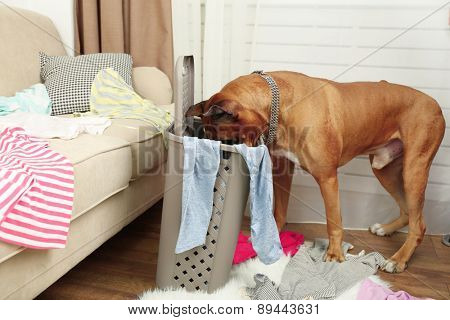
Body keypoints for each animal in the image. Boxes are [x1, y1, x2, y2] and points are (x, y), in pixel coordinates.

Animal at [187, 71, 446, 272]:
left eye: (226, 142)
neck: (279, 105)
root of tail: (435, 103)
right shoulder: (283, 172)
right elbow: (279, 211)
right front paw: (275, 235)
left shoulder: (327, 178)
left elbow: (334, 221)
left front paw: (334, 255)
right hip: (385, 170)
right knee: (408, 212)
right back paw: (386, 229)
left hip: (413, 171)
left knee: (419, 223)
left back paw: (398, 259)